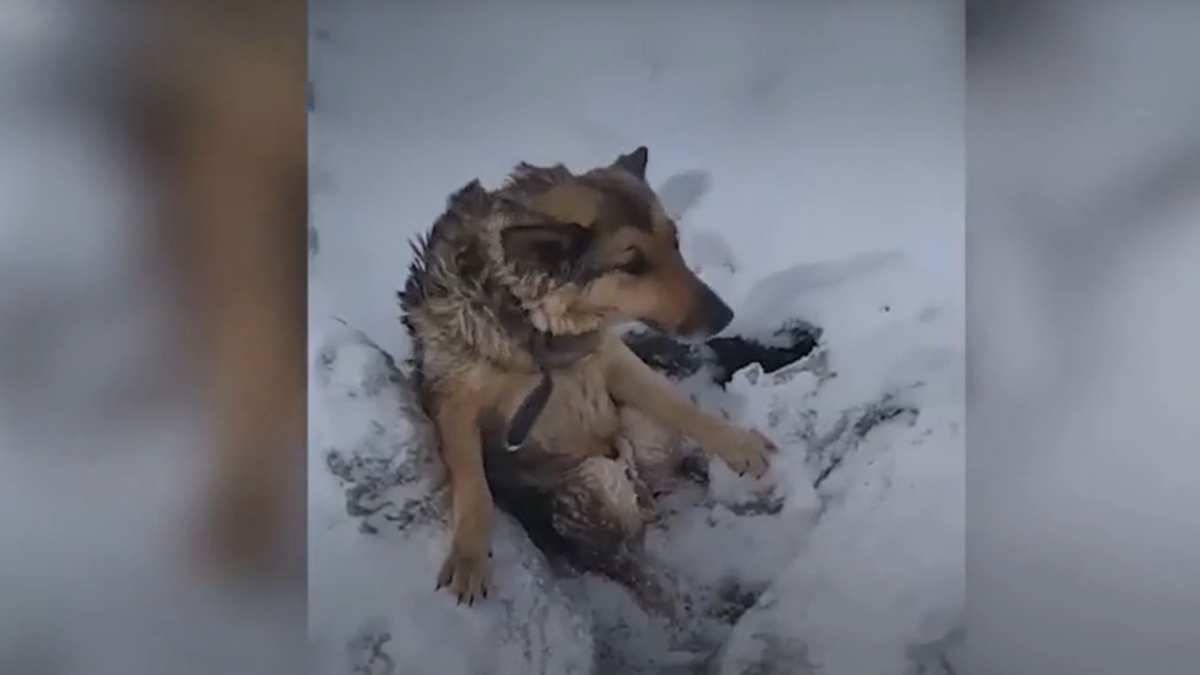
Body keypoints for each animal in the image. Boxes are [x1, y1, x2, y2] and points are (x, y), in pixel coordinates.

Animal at [400, 144, 777, 612]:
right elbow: (473, 484)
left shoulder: (611, 358)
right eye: (632, 264)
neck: (535, 324)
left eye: (674, 242)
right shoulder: (452, 400)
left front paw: (737, 444)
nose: (725, 317)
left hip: (646, 436)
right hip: (598, 480)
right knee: (634, 561)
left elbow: (677, 403)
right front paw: (469, 554)